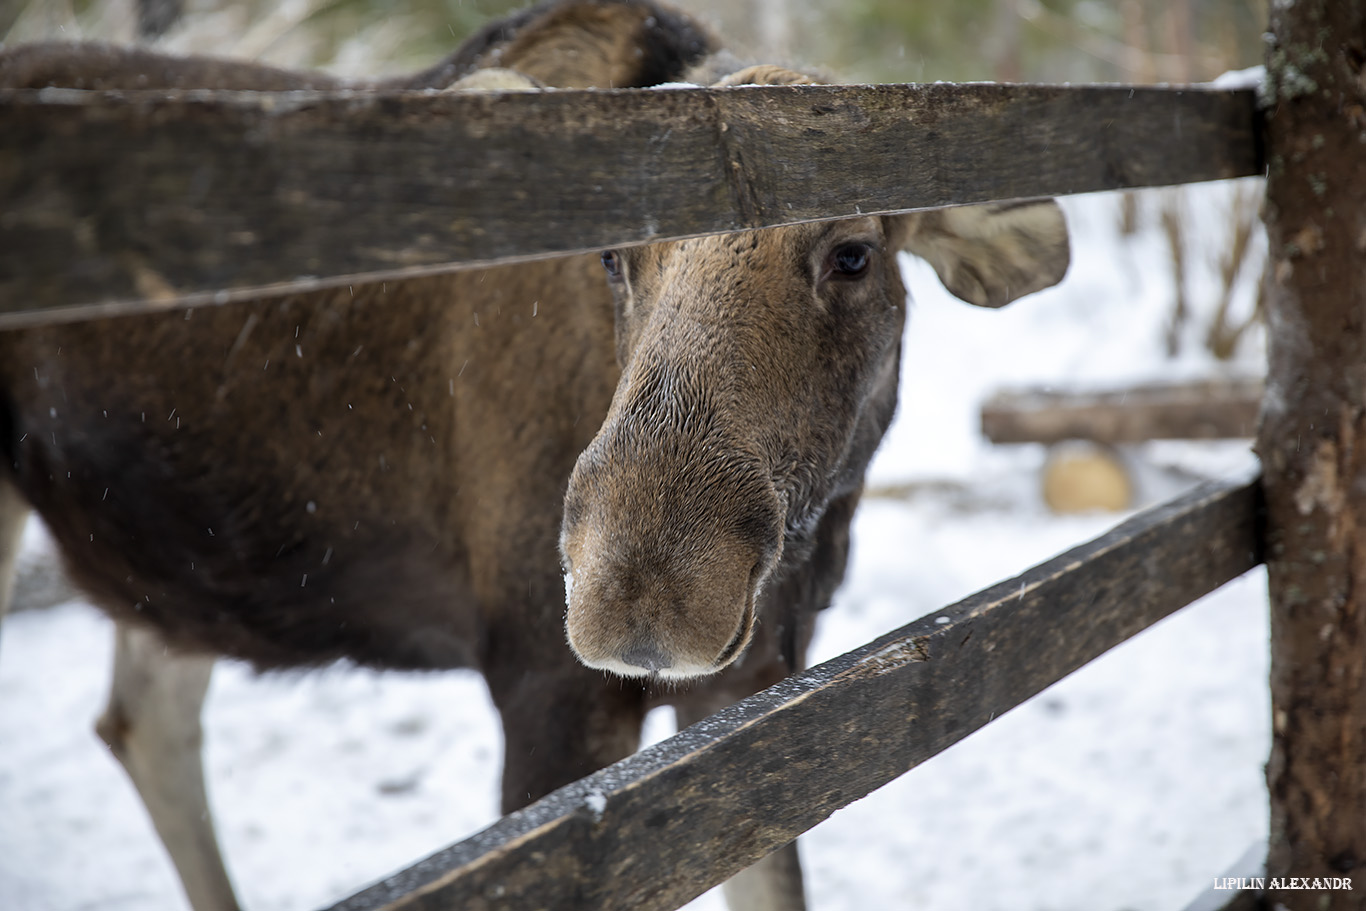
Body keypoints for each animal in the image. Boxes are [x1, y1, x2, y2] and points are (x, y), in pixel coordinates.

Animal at [0, 3, 1065, 906]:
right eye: (611, 254)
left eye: (853, 253)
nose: (642, 595)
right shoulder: (546, 691)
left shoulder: (761, 683)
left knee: (145, 720)